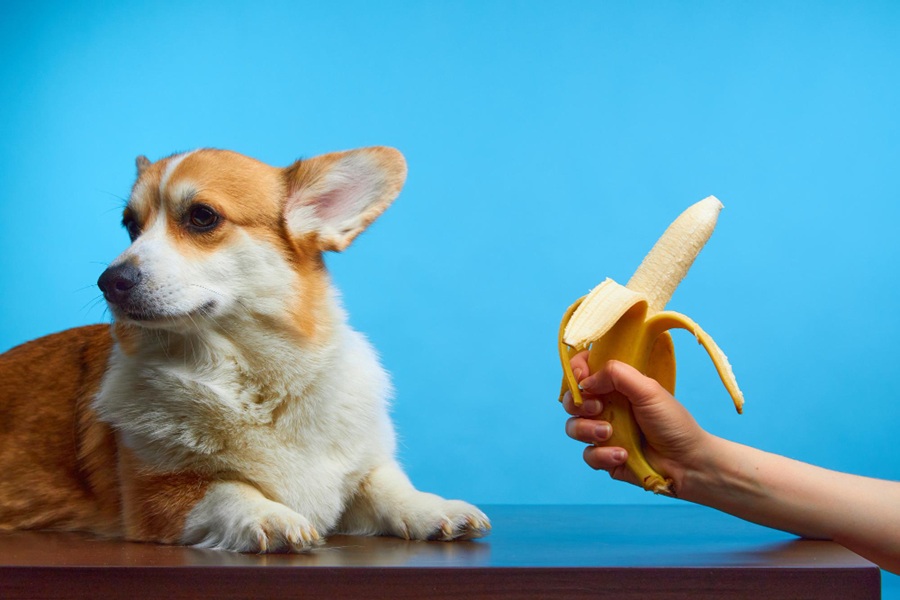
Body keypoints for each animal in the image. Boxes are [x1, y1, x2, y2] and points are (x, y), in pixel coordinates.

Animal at [0, 146, 488, 552]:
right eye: (131, 226)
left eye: (202, 217)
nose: (109, 281)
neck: (253, 380)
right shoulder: (158, 496)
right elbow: (227, 490)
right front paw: (270, 517)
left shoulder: (357, 469)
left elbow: (387, 485)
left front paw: (434, 507)